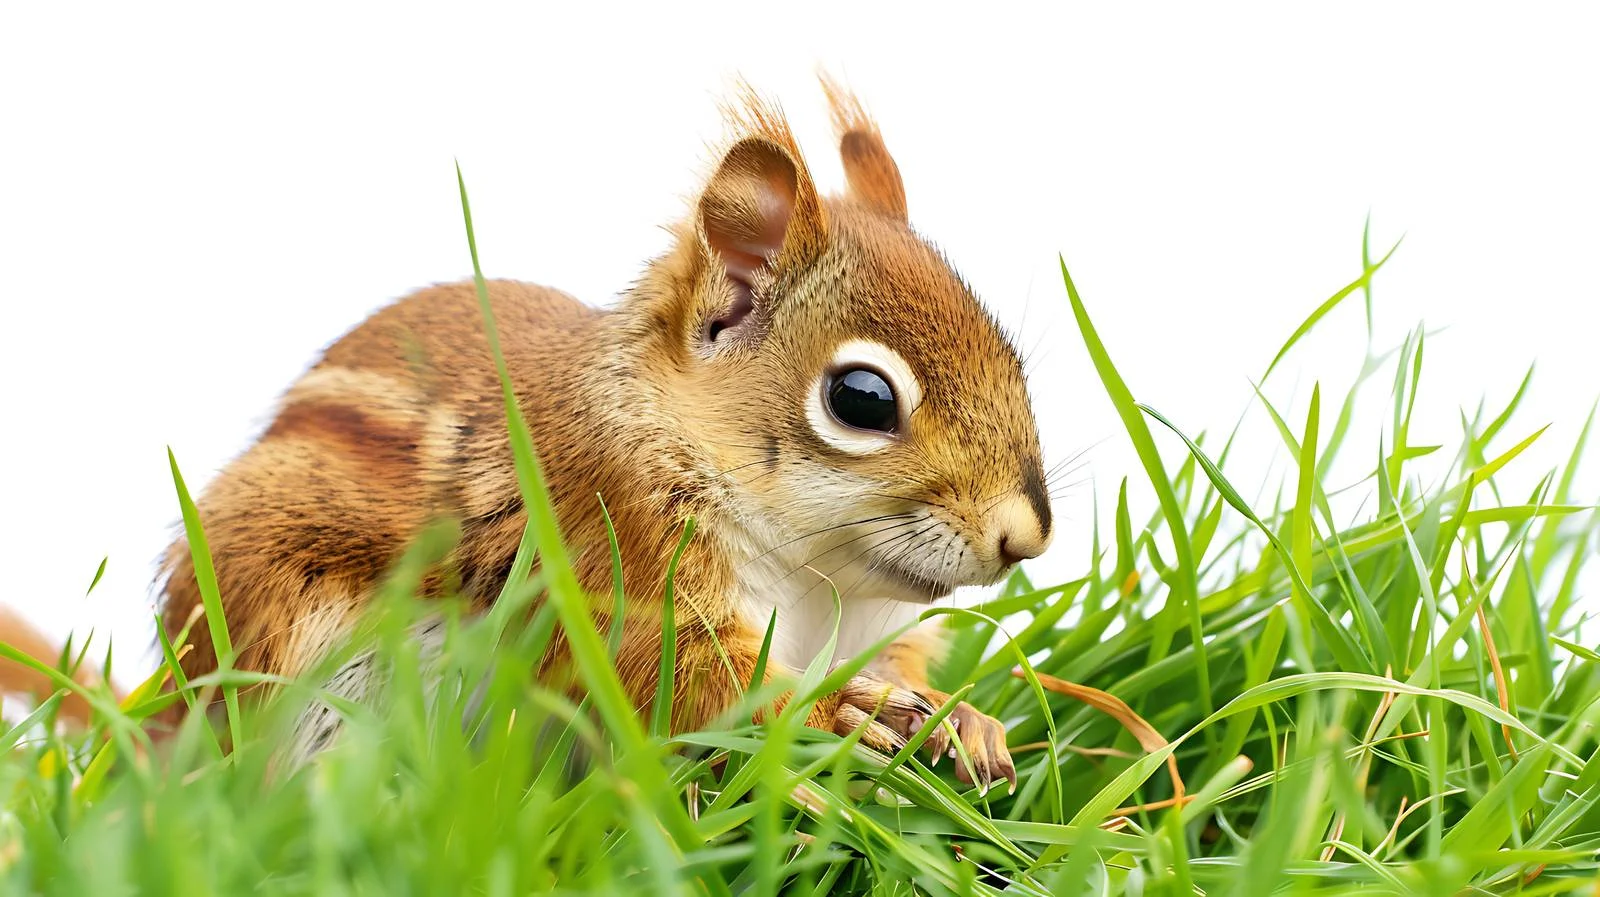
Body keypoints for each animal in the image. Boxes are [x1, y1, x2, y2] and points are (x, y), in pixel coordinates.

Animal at [3, 78, 1053, 791]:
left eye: (1011, 352)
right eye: (863, 399)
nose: (1025, 537)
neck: (816, 575)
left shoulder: (872, 621)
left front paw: (967, 722)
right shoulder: (606, 549)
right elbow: (681, 680)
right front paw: (834, 711)